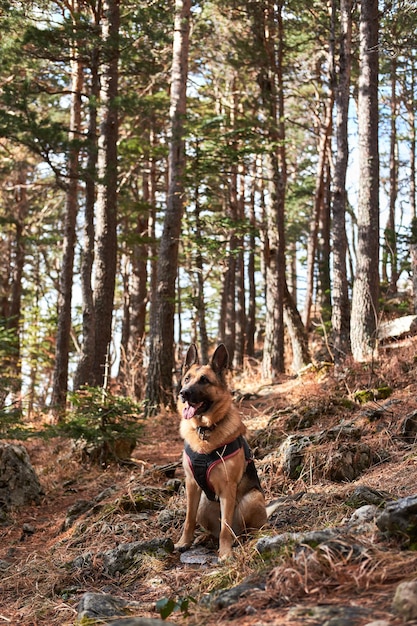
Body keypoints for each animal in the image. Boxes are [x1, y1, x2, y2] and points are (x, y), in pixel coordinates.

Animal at [175, 344, 266, 560]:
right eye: (187, 378)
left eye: (204, 380)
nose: (183, 393)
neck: (205, 430)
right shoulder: (191, 485)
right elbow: (188, 519)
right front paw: (184, 542)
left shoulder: (227, 488)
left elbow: (226, 527)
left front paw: (225, 553)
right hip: (203, 504)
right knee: (214, 530)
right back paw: (204, 538)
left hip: (252, 498)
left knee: (238, 530)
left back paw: (242, 540)